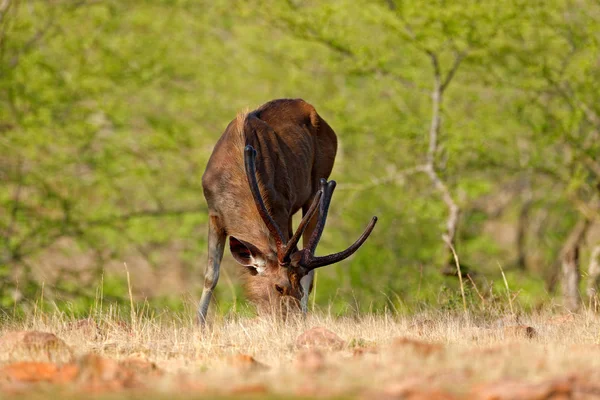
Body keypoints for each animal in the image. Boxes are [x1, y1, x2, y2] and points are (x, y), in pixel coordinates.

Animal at [199, 97, 378, 324]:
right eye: (279, 287)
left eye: (297, 290)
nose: (290, 321)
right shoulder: (214, 212)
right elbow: (210, 275)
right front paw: (199, 324)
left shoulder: (281, 207)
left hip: (315, 187)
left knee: (310, 266)